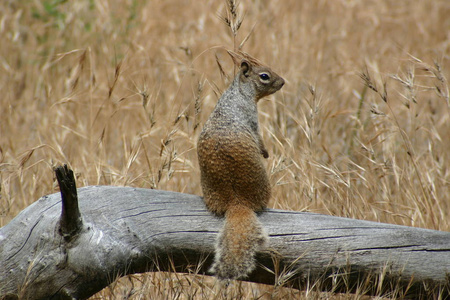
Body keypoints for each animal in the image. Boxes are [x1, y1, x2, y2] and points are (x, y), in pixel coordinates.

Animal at [198, 52, 284, 280]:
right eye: (264, 76)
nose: (282, 82)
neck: (238, 93)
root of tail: (237, 202)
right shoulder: (252, 118)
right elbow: (259, 137)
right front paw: (266, 152)